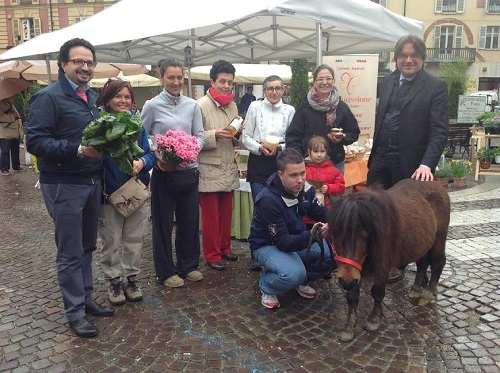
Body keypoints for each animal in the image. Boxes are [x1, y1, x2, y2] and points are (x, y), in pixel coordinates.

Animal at [328, 179, 450, 342]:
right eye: (334, 234)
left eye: (364, 235)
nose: (346, 281)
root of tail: (437, 185)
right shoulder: (355, 270)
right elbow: (352, 297)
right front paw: (349, 327)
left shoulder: (382, 266)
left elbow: (377, 292)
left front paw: (374, 319)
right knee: (422, 264)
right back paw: (416, 289)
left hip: (438, 239)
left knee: (437, 264)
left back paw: (427, 293)